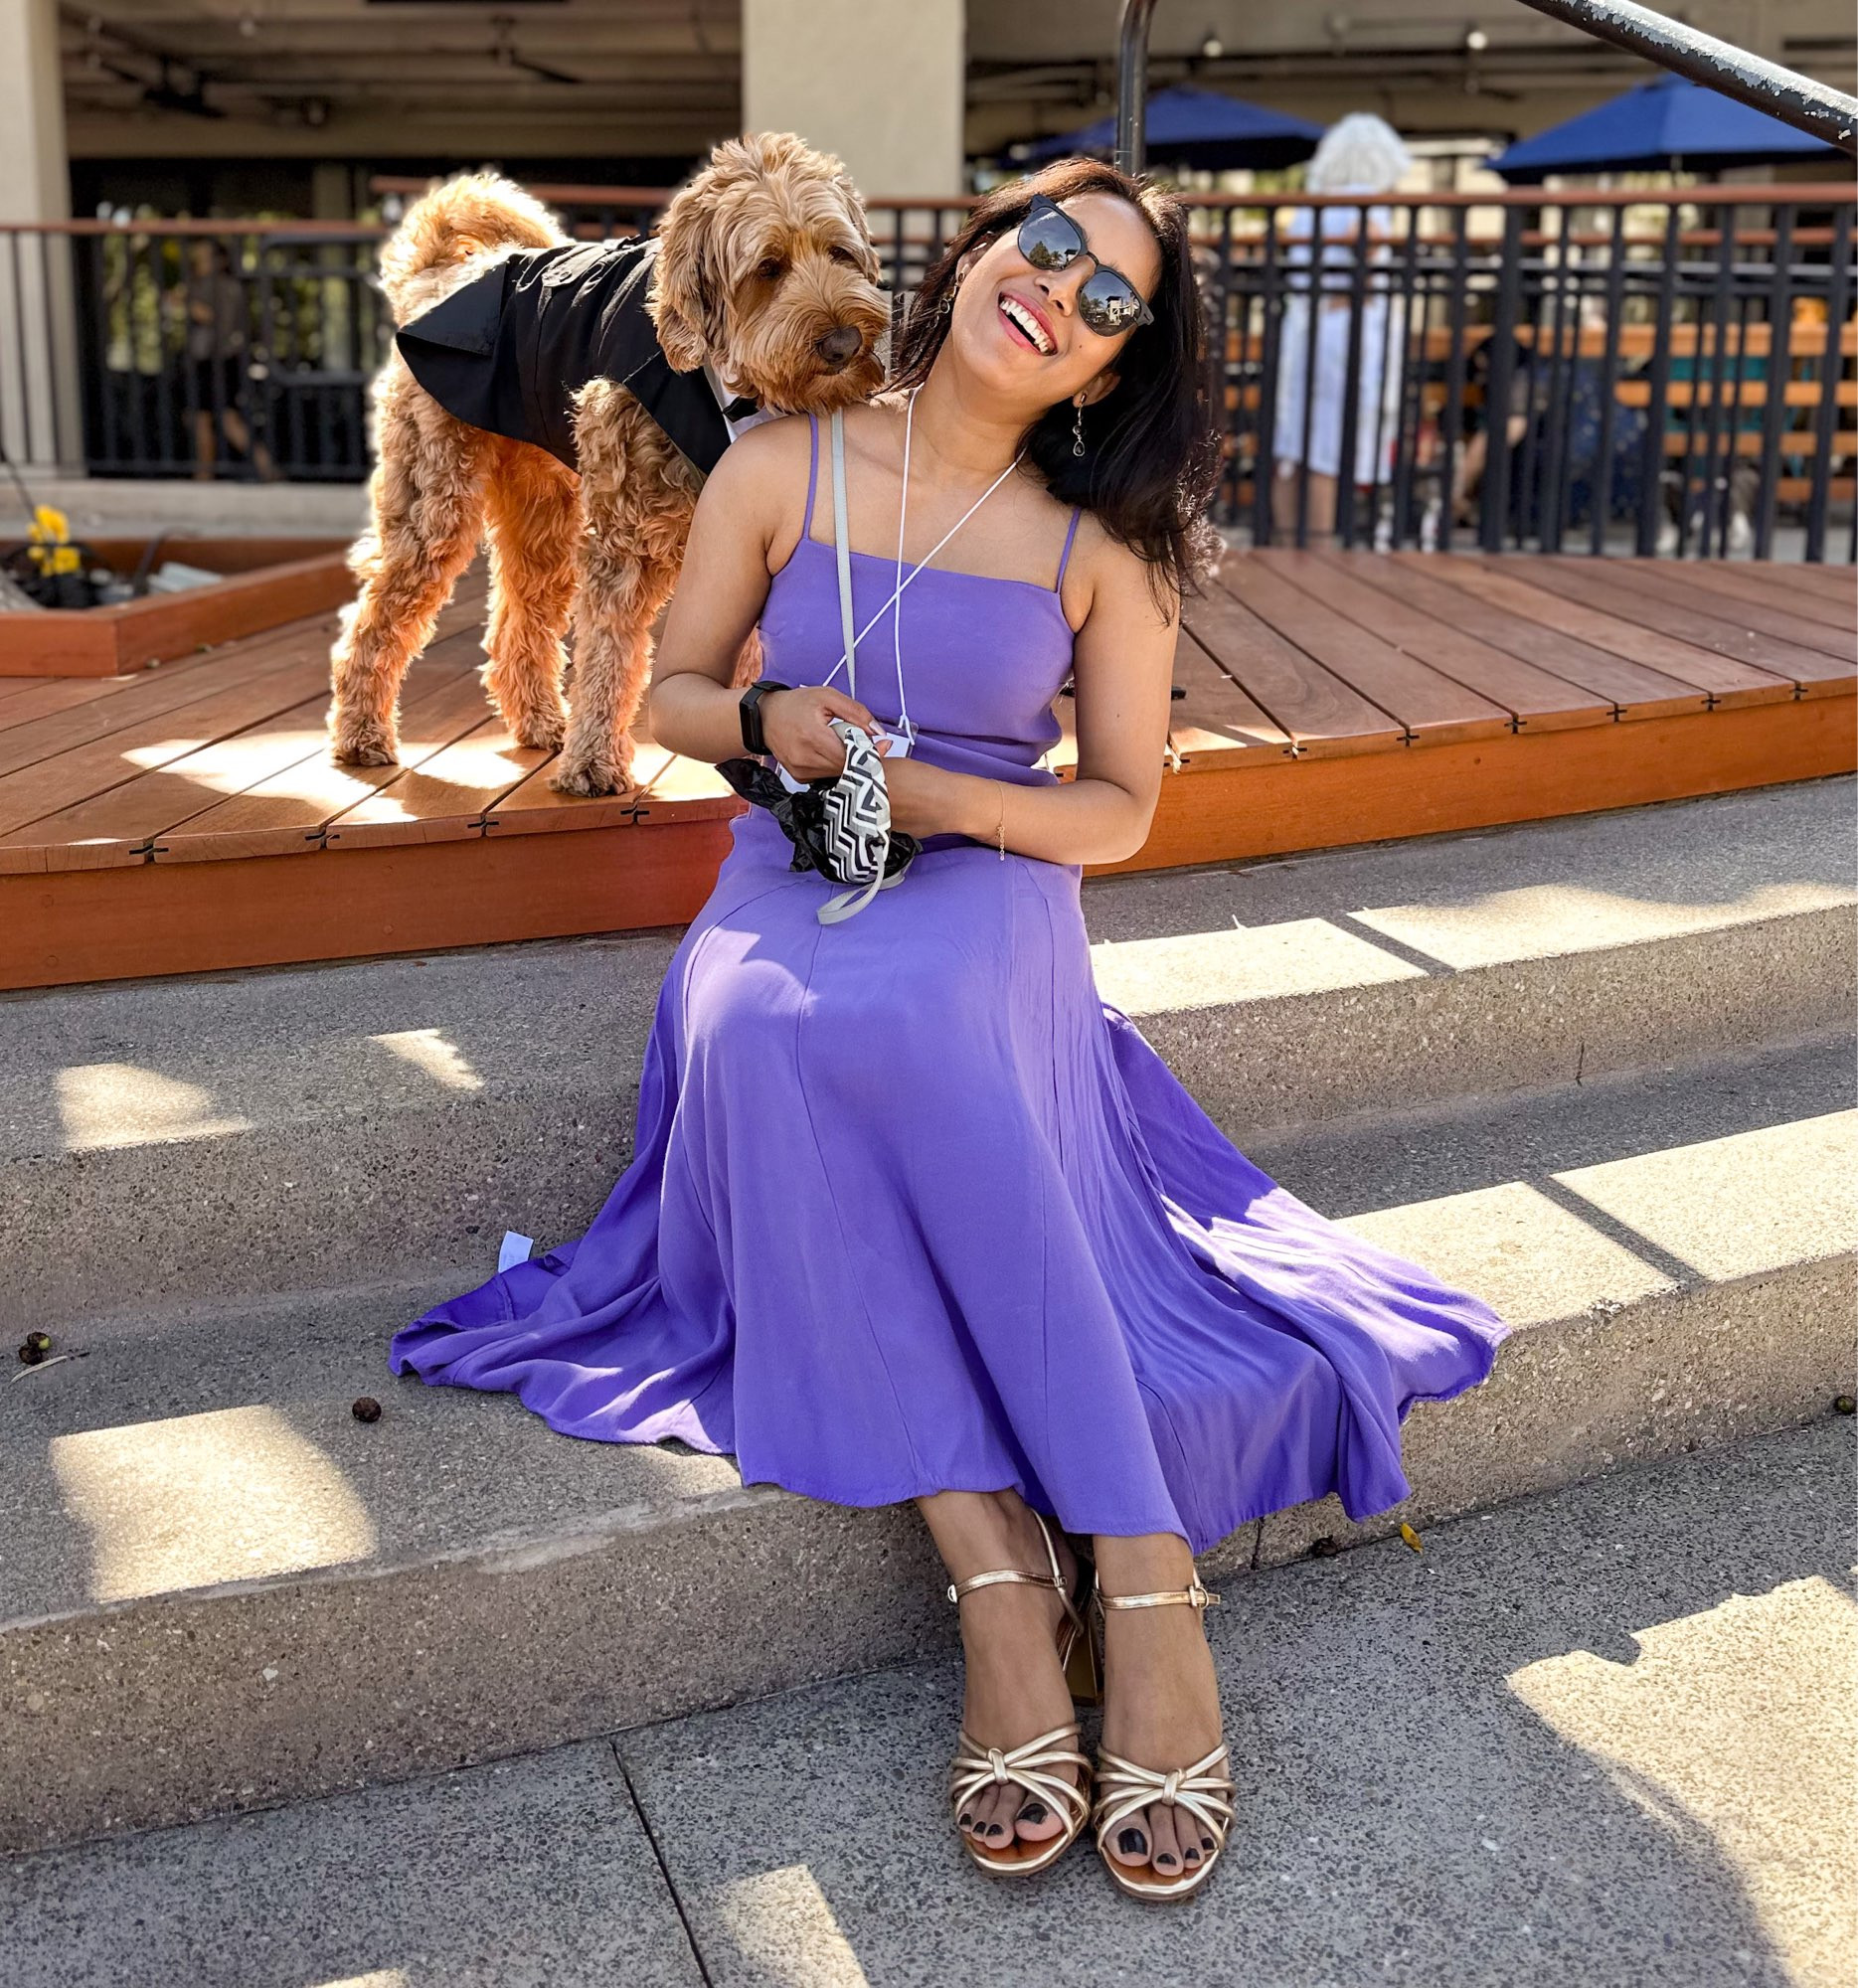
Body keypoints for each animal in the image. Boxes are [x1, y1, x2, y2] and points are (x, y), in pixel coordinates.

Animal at [328, 128, 895, 799]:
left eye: (840, 252)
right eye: (768, 268)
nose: (844, 344)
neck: (729, 386)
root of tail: (439, 276)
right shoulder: (623, 543)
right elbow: (610, 654)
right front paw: (595, 764)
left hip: (543, 517)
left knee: (514, 624)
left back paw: (542, 722)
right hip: (433, 506)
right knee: (378, 615)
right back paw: (362, 733)